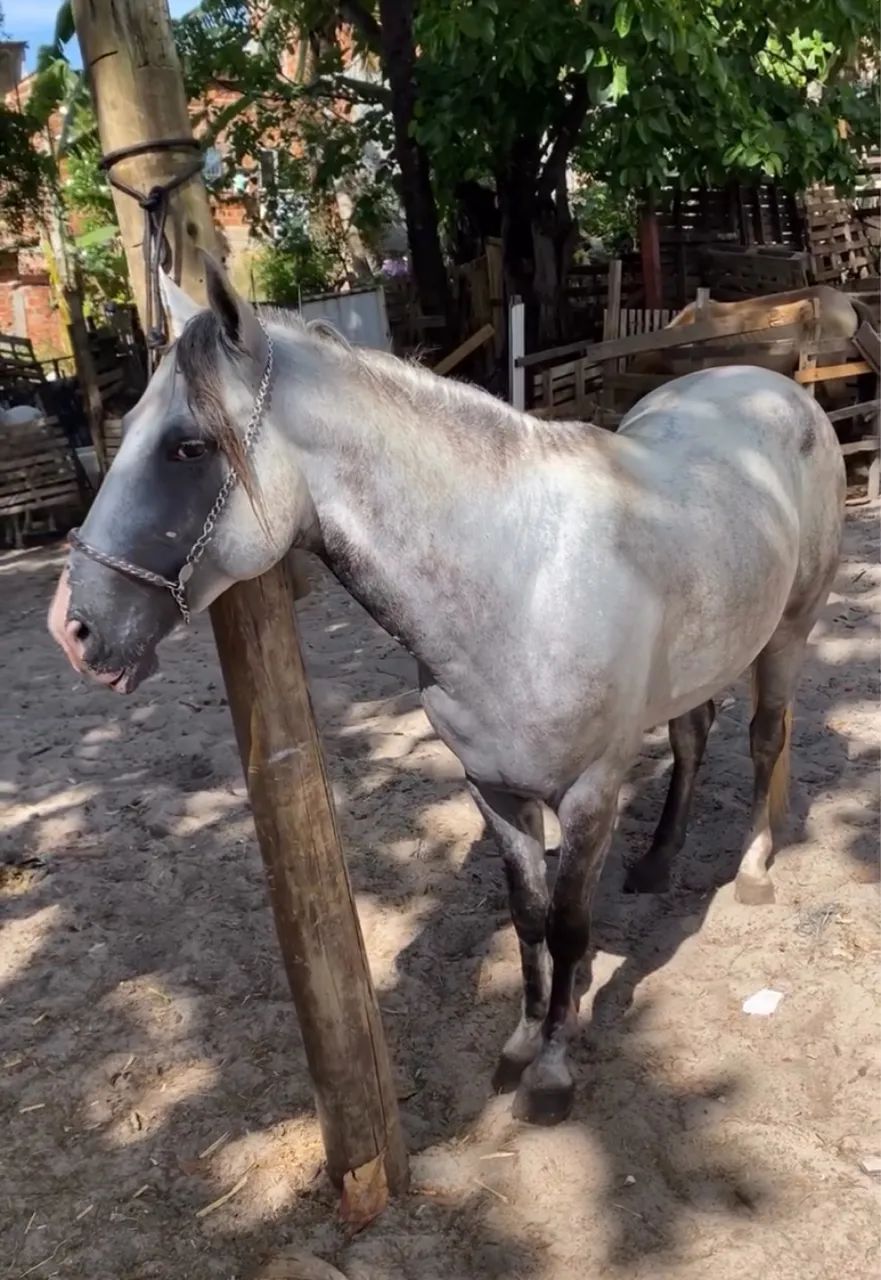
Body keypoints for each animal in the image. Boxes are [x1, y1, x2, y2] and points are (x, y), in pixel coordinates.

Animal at [47, 259, 845, 1126]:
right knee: (692, 736)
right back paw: (659, 860)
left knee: (764, 739)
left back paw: (753, 872)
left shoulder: (588, 791)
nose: (74, 628)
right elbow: (527, 918)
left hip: (788, 630)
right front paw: (523, 1044)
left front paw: (552, 1072)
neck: (520, 580)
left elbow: (568, 926)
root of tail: (773, 385)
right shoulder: (491, 788)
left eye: (187, 447)